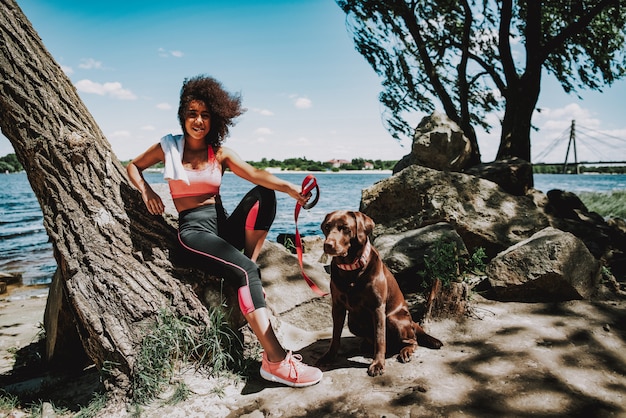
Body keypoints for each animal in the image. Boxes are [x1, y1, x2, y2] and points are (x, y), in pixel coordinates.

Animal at [314, 211, 442, 378]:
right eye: (327, 227)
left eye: (346, 228)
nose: (328, 245)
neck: (351, 270)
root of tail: (411, 321)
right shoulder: (337, 307)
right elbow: (335, 336)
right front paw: (328, 357)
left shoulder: (378, 307)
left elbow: (380, 339)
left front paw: (378, 364)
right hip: (353, 322)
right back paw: (366, 345)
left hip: (393, 319)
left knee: (412, 340)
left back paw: (405, 351)